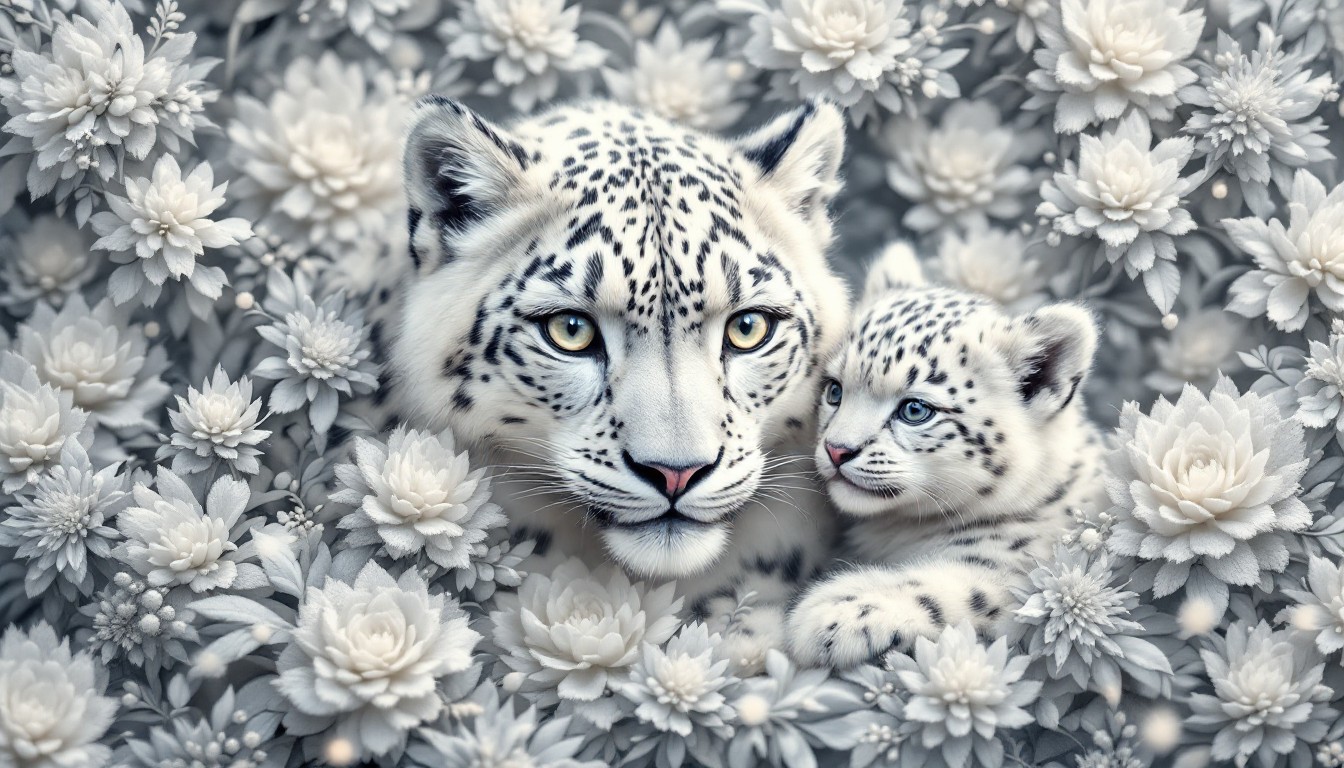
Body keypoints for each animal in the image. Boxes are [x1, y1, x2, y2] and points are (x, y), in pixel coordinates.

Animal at [786, 243, 1107, 669]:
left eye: (915, 409)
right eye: (834, 390)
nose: (837, 450)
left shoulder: (1020, 568)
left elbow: (971, 586)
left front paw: (829, 610)